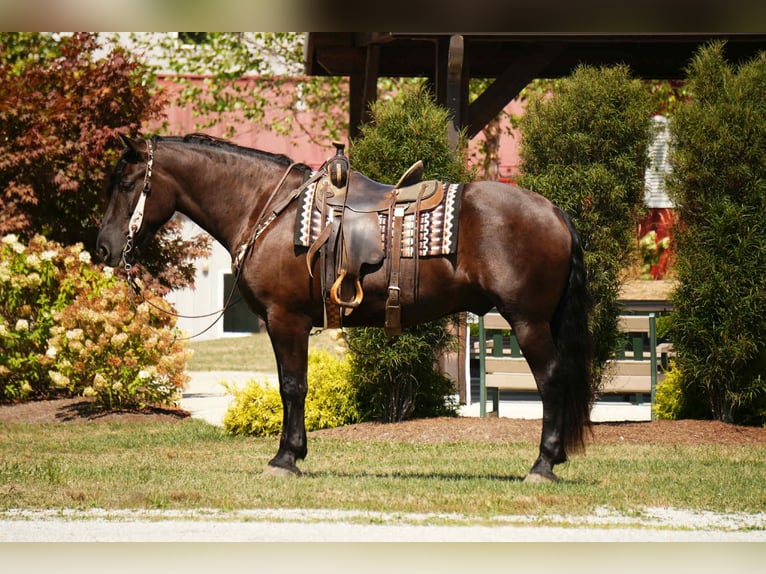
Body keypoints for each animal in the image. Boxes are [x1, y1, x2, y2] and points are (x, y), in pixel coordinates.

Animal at [96, 133, 593, 483]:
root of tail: (554, 211)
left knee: (551, 379)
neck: (268, 211)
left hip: (528, 322)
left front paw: (285, 457)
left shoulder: (286, 319)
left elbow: (292, 386)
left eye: (126, 184)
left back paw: (543, 464)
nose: (102, 248)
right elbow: (291, 386)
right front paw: (294, 452)